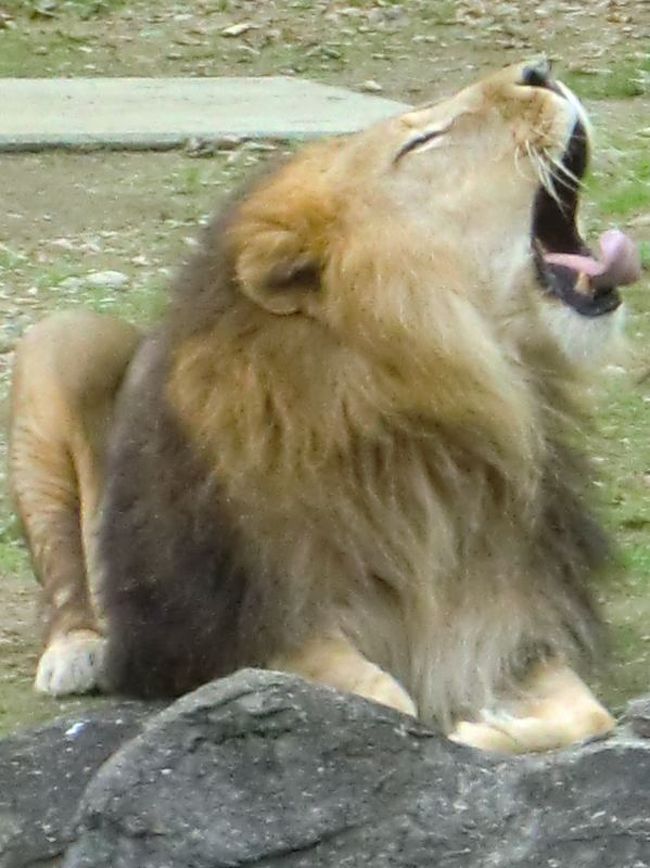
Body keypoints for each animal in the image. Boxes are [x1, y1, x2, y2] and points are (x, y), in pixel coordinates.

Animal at [8, 61, 636, 752]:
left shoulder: (508, 619)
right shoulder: (227, 635)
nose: (538, 70)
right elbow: (384, 698)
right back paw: (76, 653)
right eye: (421, 141)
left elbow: (589, 712)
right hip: (55, 349)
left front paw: (480, 728)